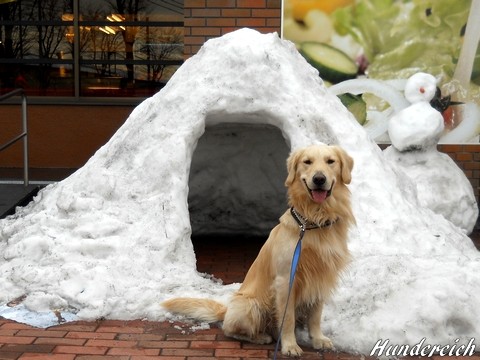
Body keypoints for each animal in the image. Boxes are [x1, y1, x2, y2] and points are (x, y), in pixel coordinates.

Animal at [163, 144, 354, 358]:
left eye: (330, 161)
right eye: (307, 162)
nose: (319, 179)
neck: (313, 222)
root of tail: (226, 310)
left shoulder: (321, 276)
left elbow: (316, 315)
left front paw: (318, 339)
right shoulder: (286, 279)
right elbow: (287, 318)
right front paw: (290, 345)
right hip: (250, 305)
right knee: (230, 330)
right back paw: (262, 337)